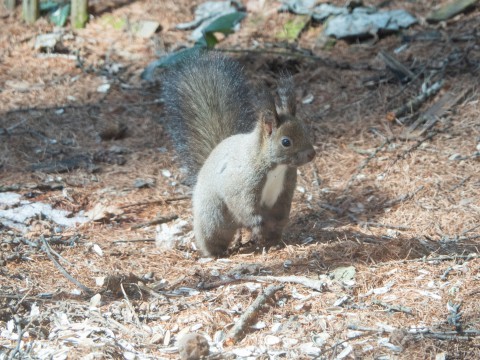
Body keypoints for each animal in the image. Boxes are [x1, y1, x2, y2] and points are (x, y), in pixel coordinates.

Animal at [163, 51, 316, 258]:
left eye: (305, 129)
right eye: (286, 142)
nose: (312, 154)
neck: (276, 167)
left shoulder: (286, 188)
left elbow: (281, 211)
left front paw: (270, 230)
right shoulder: (242, 185)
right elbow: (244, 206)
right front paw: (257, 224)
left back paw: (273, 241)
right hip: (214, 218)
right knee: (213, 237)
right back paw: (215, 254)